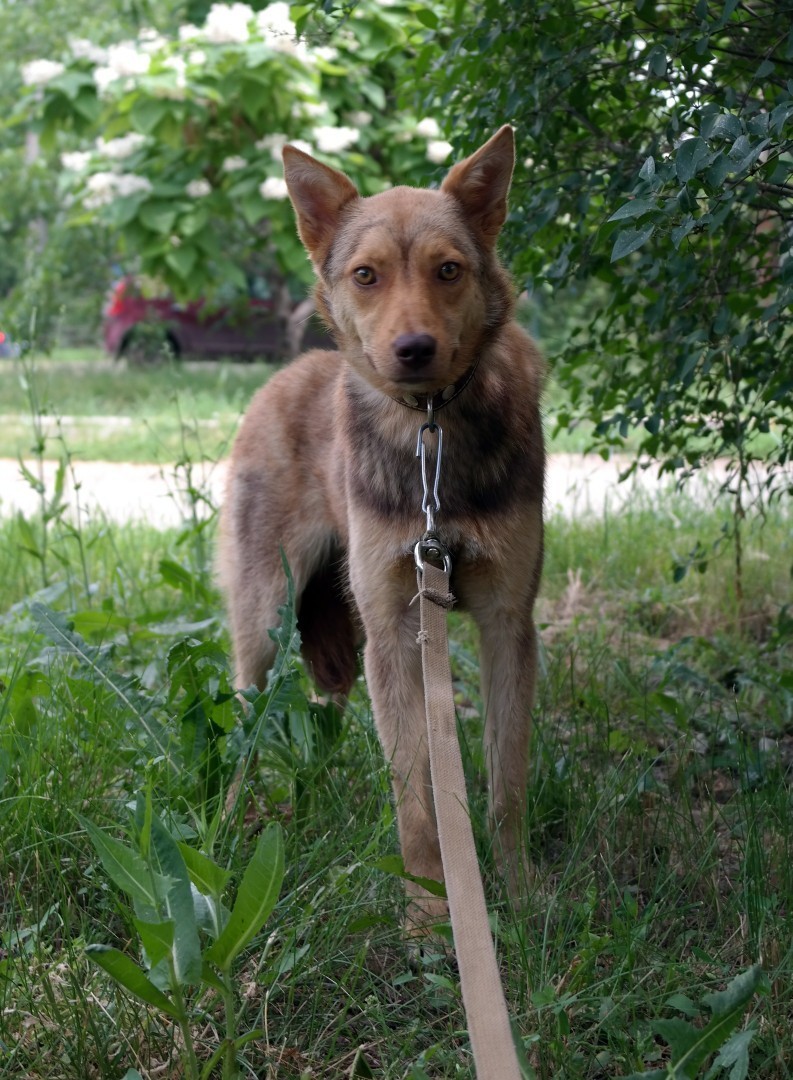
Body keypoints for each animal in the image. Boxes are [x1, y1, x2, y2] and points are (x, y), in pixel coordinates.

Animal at [220, 126, 548, 933]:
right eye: (366, 275)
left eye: (448, 270)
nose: (414, 349)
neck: (431, 431)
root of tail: (286, 375)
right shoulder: (394, 634)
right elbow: (415, 801)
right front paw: (430, 913)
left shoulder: (507, 623)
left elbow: (506, 781)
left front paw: (519, 894)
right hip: (266, 618)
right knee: (245, 721)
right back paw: (234, 823)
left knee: (322, 715)